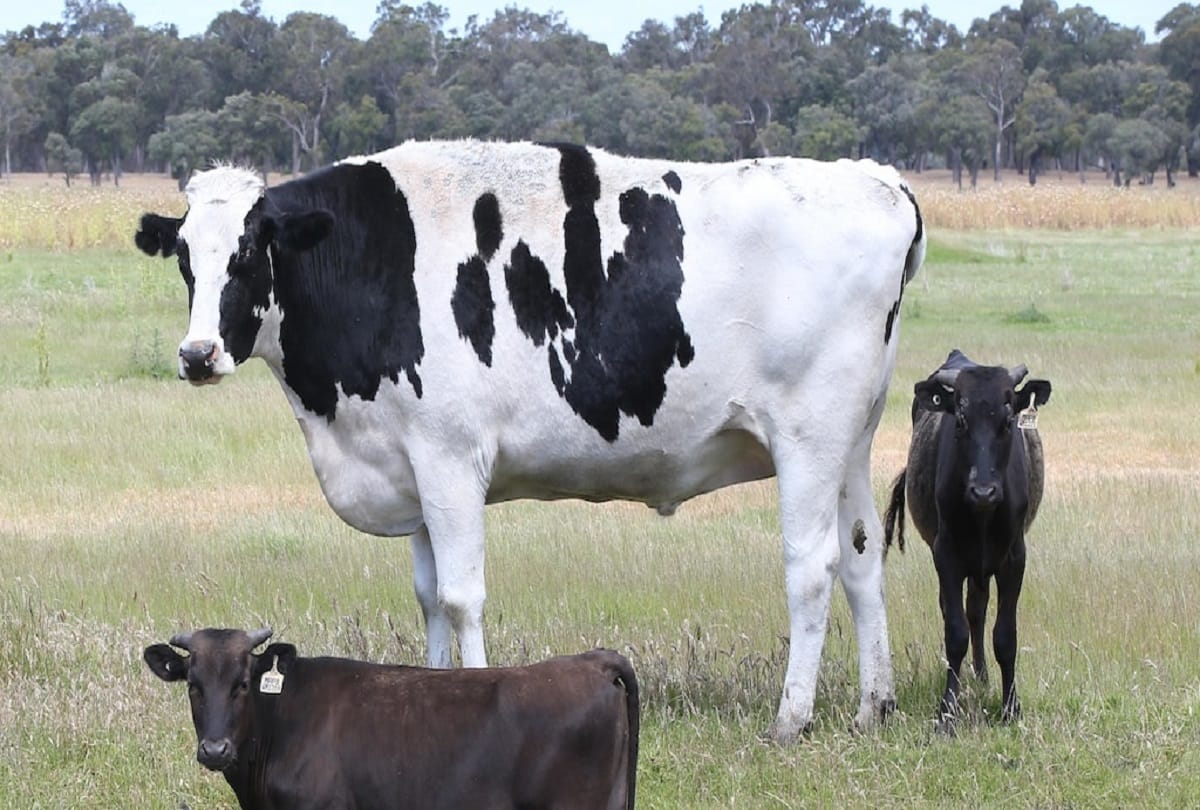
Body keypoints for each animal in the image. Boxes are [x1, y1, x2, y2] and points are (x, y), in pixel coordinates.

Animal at [134, 140, 926, 741]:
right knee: (861, 560)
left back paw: (791, 720)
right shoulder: (411, 467)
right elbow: (426, 596)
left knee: (812, 567)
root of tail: (876, 178)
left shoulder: (450, 458)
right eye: (185, 259)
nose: (197, 354)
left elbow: (460, 596)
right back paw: (872, 708)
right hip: (853, 441)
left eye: (249, 252)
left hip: (807, 438)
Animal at [883, 349, 1052, 733]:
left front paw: (1011, 707)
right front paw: (948, 709)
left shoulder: (1014, 559)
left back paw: (982, 676)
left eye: (1008, 420)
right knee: (959, 611)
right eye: (960, 421)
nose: (983, 490)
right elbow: (955, 633)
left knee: (977, 608)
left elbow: (1005, 636)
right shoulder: (946, 556)